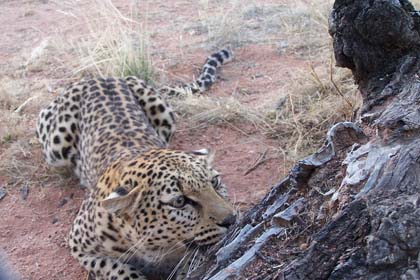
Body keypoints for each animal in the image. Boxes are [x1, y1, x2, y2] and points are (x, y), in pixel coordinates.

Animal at [37, 49, 236, 278]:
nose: (232, 220)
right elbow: (118, 269)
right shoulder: (79, 245)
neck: (155, 248)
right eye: (179, 201)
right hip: (55, 149)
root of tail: (99, 77)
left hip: (163, 113)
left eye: (215, 182)